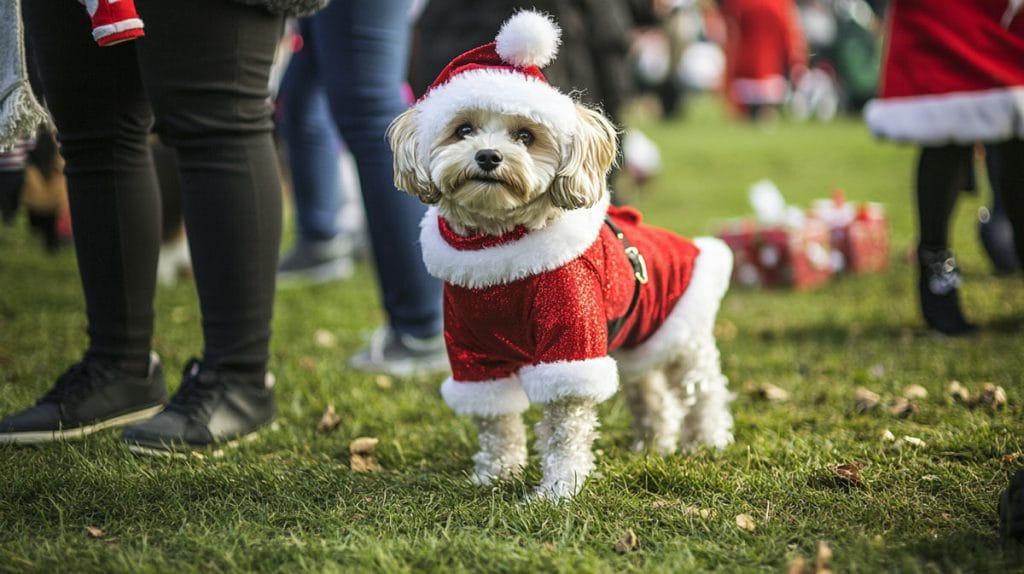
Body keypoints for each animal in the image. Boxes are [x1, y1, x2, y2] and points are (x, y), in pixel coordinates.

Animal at [387, 11, 733, 499]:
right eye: (463, 129)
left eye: (526, 136)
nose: (488, 156)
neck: (498, 253)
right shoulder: (472, 354)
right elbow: (496, 421)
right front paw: (495, 473)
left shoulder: (570, 345)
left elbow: (565, 428)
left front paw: (558, 489)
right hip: (637, 342)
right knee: (650, 393)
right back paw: (652, 444)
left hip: (682, 338)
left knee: (703, 391)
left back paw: (706, 440)